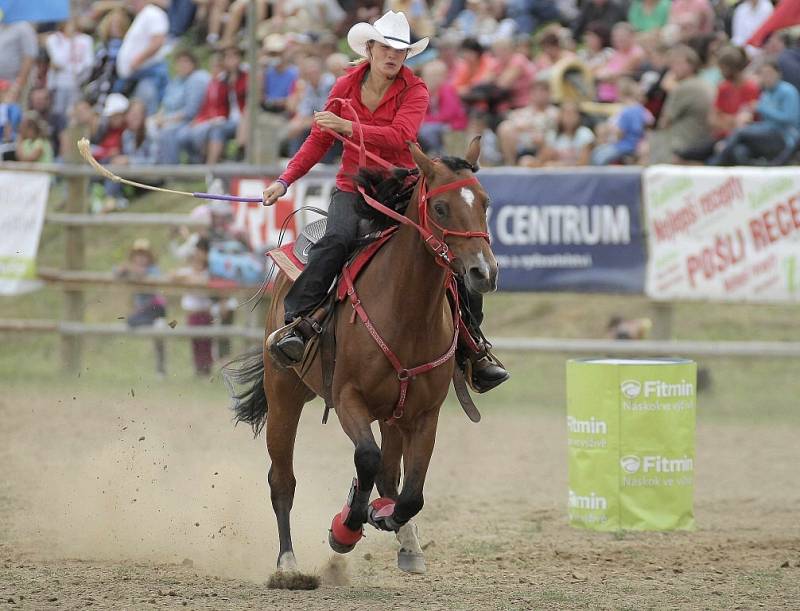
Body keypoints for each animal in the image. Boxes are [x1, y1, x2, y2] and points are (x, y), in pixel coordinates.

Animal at [225, 136, 496, 576]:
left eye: (485, 202)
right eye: (440, 207)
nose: (483, 273)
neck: (406, 311)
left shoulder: (424, 415)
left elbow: (411, 493)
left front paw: (384, 517)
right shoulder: (349, 398)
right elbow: (366, 459)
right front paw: (346, 527)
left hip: (392, 414)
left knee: (389, 476)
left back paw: (405, 541)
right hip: (284, 393)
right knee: (283, 480)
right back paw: (288, 563)